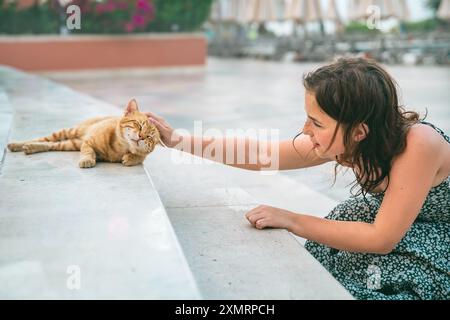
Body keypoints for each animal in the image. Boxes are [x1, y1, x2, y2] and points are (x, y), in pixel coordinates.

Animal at [7, 99, 161, 169]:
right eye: (139, 124)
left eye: (149, 137)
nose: (141, 137)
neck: (121, 146)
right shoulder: (88, 142)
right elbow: (88, 152)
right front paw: (87, 160)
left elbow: (140, 156)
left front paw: (131, 157)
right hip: (69, 132)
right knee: (43, 138)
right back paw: (17, 145)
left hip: (70, 144)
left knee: (51, 145)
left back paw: (31, 148)